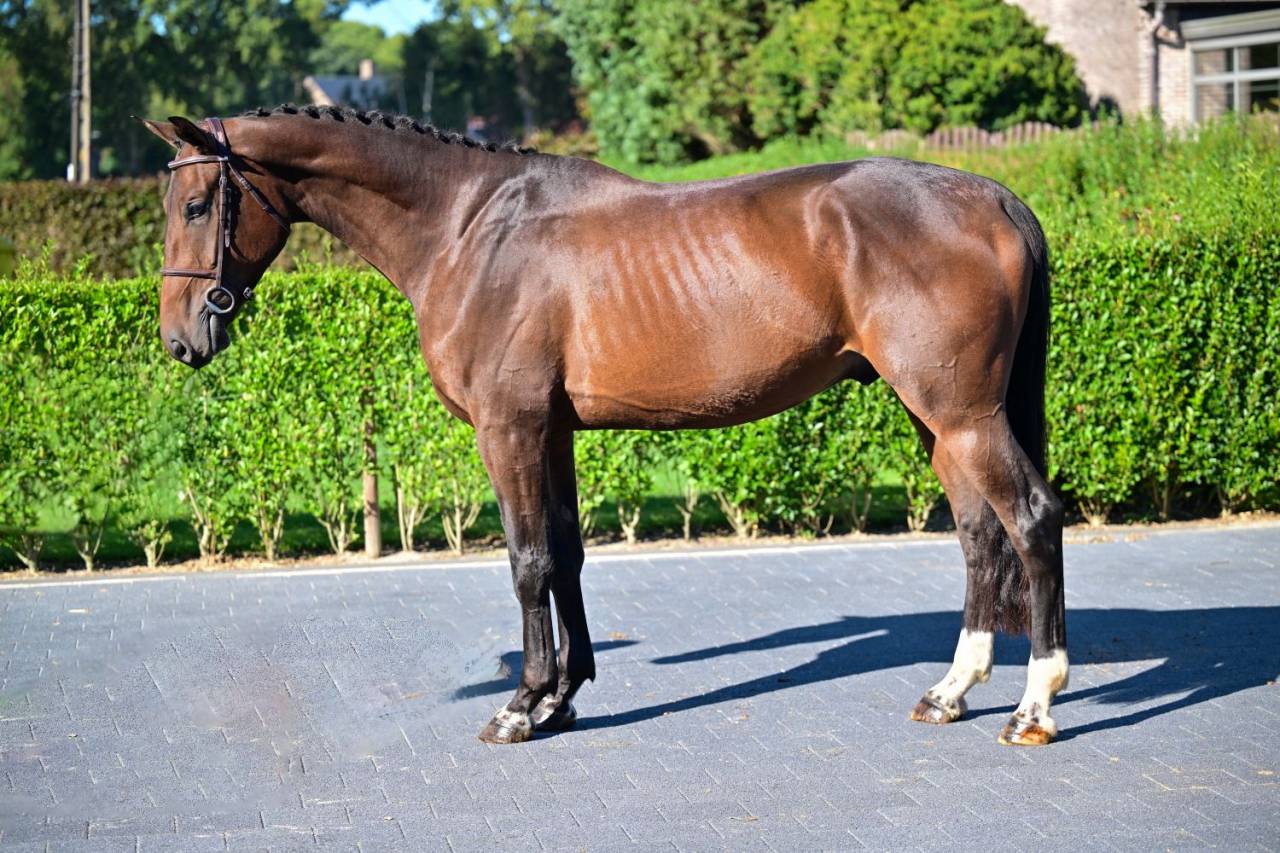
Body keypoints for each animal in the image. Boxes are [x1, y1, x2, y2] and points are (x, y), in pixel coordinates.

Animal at [140, 106, 1068, 747]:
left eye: (197, 204)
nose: (182, 338)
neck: (468, 228)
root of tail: (993, 195)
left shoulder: (507, 429)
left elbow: (526, 560)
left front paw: (521, 705)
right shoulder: (550, 431)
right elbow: (567, 553)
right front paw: (563, 695)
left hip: (963, 416)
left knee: (1030, 520)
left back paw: (1034, 704)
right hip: (938, 420)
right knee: (979, 533)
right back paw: (950, 690)